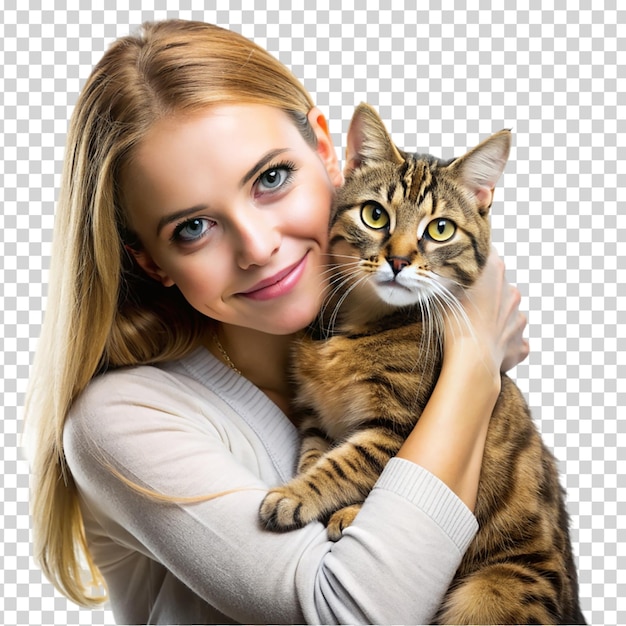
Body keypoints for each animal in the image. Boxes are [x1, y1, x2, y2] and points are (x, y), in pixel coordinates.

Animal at [256, 103, 584, 624]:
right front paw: (306, 490)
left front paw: (297, 497)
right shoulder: (316, 416)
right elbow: (317, 455)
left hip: (490, 593)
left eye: (440, 229)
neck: (360, 324)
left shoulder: (396, 425)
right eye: (375, 215)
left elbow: (345, 465)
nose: (398, 260)